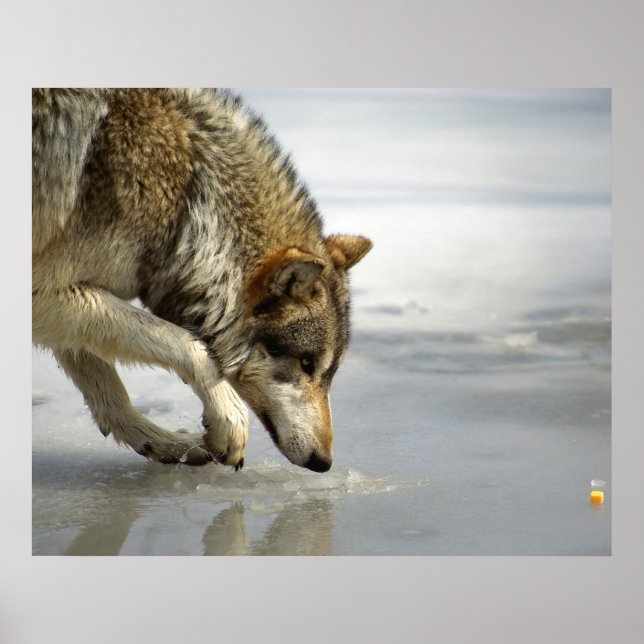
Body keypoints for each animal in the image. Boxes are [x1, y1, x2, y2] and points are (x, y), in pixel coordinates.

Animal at [32, 88, 372, 472]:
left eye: (329, 373)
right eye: (307, 365)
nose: (324, 462)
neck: (189, 204)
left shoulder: (66, 300)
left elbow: (109, 394)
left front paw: (165, 444)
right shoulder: (45, 293)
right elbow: (190, 347)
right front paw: (228, 424)